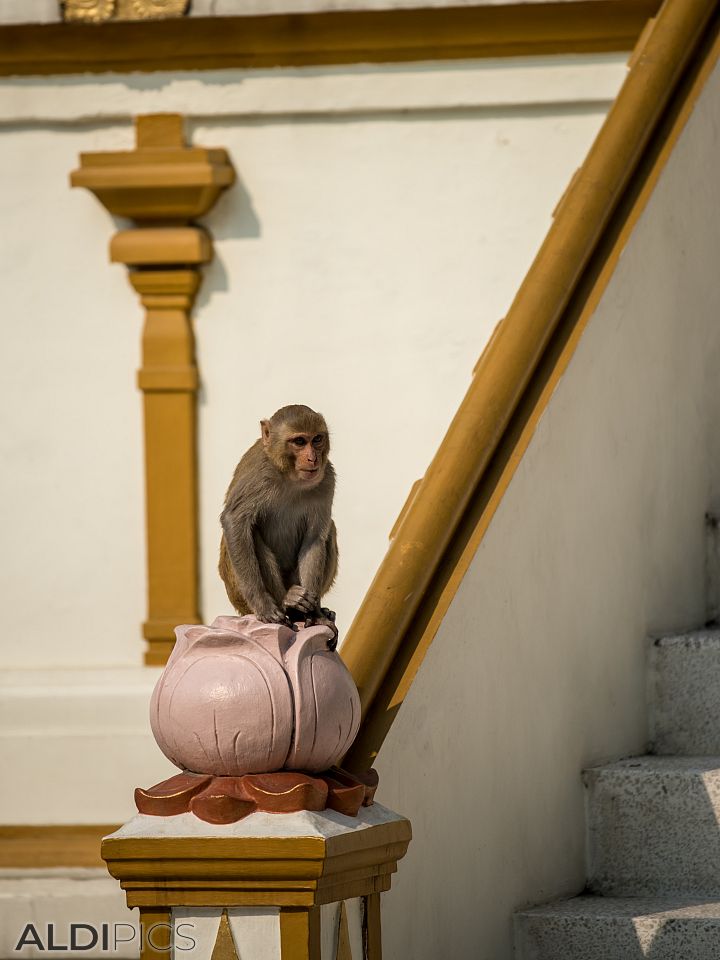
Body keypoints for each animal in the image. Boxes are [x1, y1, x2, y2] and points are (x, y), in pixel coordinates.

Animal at [218, 404, 338, 632]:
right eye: (299, 441)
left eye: (317, 439)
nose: (313, 458)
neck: (290, 476)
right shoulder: (259, 474)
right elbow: (234, 521)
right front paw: (263, 604)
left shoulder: (327, 478)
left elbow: (315, 539)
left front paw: (315, 614)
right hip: (238, 594)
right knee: (251, 532)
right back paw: (287, 600)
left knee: (330, 530)